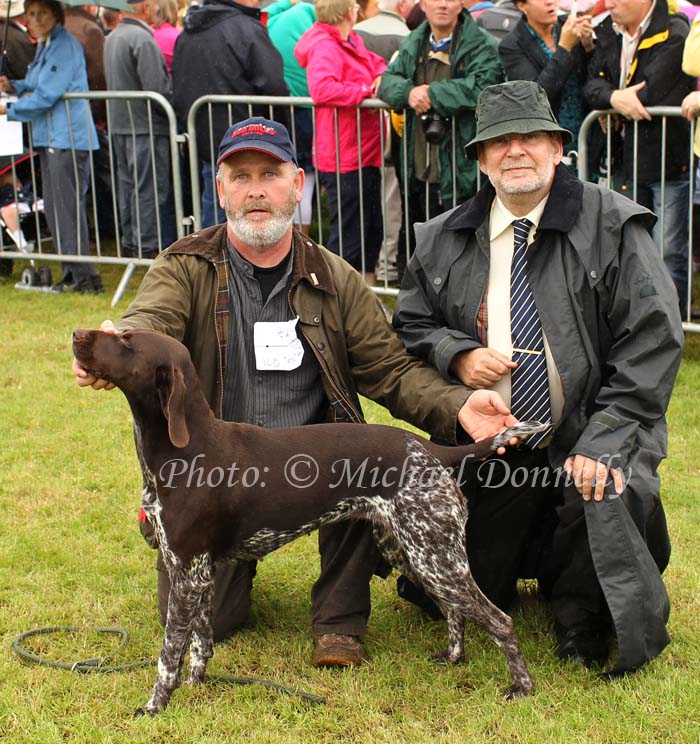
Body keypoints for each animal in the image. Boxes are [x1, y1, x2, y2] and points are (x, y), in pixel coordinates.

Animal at [72, 328, 540, 712]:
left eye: (127, 340)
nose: (77, 334)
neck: (186, 451)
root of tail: (431, 450)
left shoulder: (186, 574)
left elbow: (169, 654)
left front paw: (155, 705)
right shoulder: (197, 574)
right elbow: (200, 644)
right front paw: (196, 687)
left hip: (435, 557)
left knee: (499, 620)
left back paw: (521, 687)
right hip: (415, 553)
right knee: (454, 611)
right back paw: (453, 657)